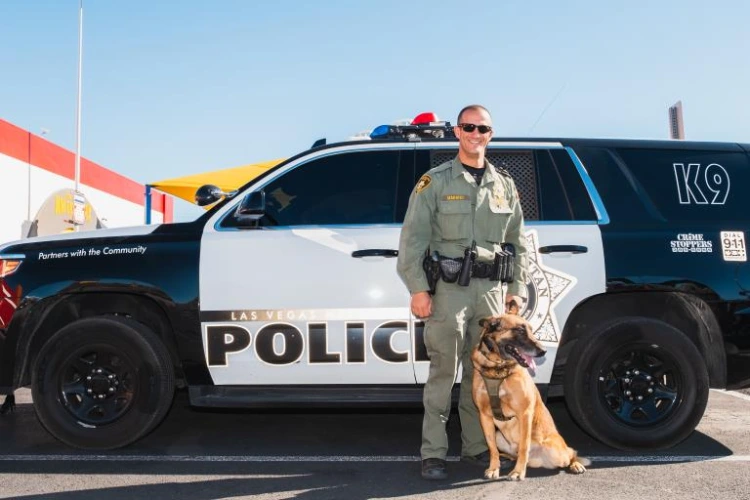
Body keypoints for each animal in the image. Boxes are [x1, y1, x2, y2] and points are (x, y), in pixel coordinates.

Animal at [472, 312, 592, 480]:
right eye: (520, 330)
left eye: (530, 330)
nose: (544, 351)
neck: (498, 368)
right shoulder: (484, 416)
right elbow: (492, 448)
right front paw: (494, 468)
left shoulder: (524, 413)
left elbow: (524, 446)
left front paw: (518, 472)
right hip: (499, 437)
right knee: (511, 453)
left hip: (557, 452)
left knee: (571, 452)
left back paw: (576, 465)